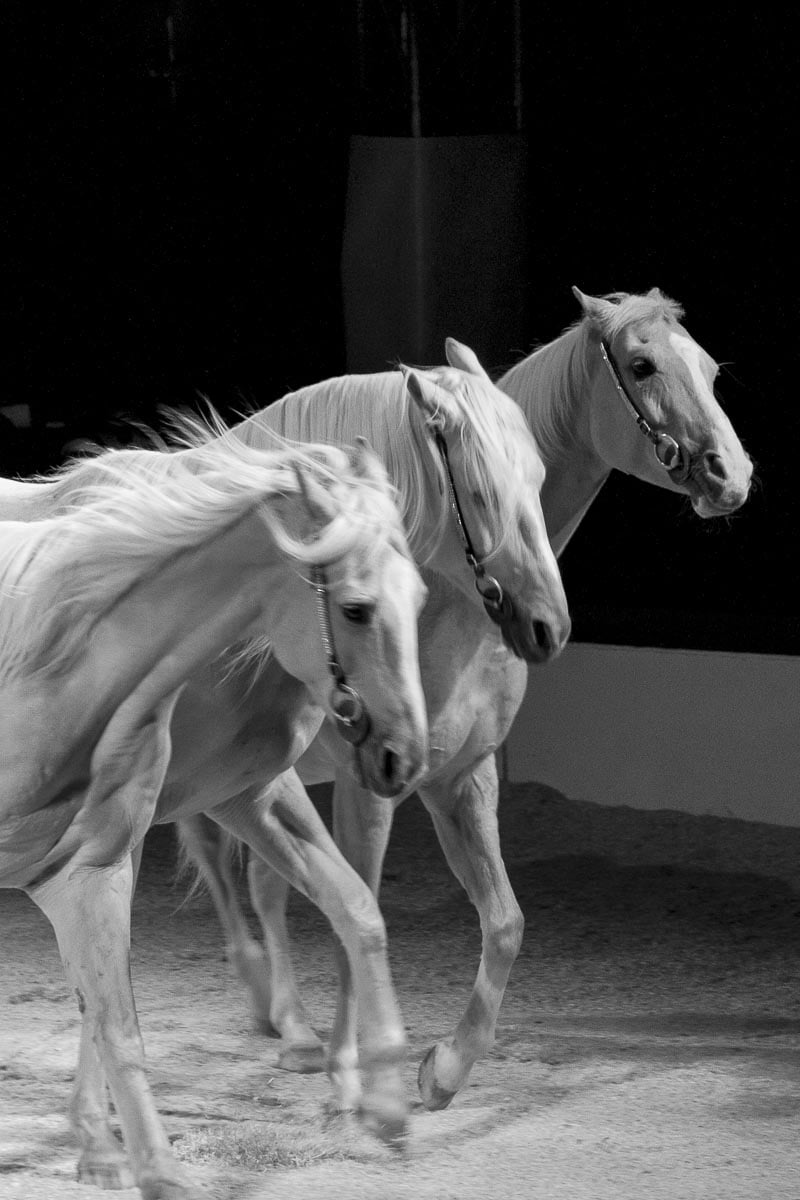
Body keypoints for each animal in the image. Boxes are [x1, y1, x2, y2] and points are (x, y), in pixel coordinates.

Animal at [0, 431, 431, 1199]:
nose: (404, 756)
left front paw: (379, 1100)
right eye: (356, 608)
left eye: (419, 598)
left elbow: (113, 1017)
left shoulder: (100, 863)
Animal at [173, 289, 753, 1118]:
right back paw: (289, 1025)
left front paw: (443, 1071)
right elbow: (354, 907)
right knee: (240, 875)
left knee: (254, 876)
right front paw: (357, 1072)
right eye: (642, 365)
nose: (730, 474)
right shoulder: (366, 787)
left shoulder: (461, 778)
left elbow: (503, 921)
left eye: (708, 368)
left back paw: (285, 1023)